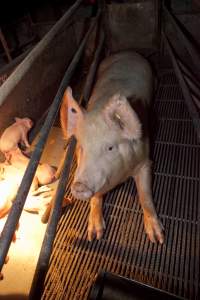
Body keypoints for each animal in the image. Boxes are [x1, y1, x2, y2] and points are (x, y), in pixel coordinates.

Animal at [60, 51, 164, 244]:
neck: (120, 177)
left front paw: (157, 238)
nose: (79, 186)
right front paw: (94, 235)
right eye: (81, 148)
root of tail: (129, 52)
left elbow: (145, 195)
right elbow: (96, 196)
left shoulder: (145, 160)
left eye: (110, 148)